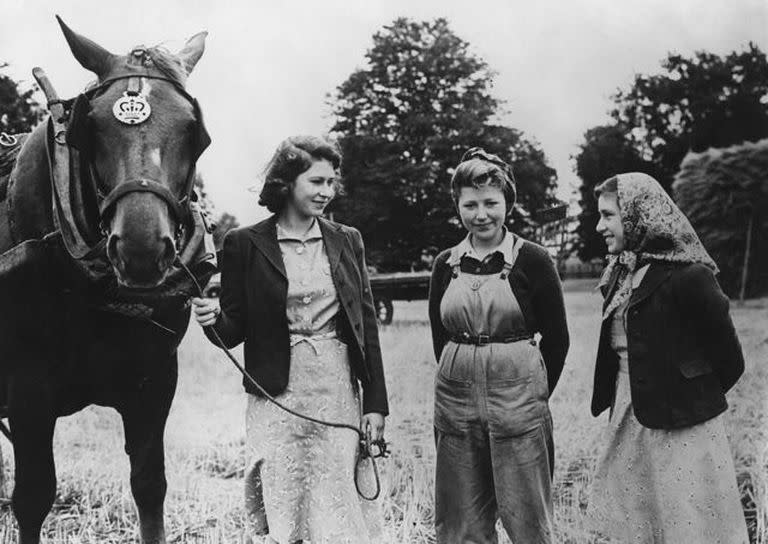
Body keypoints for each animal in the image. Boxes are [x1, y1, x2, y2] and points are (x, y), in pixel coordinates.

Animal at [0, 18, 216, 544]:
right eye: (91, 127)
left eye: (194, 131)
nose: (140, 250)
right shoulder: (27, 391)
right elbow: (33, 497)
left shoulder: (156, 383)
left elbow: (150, 486)